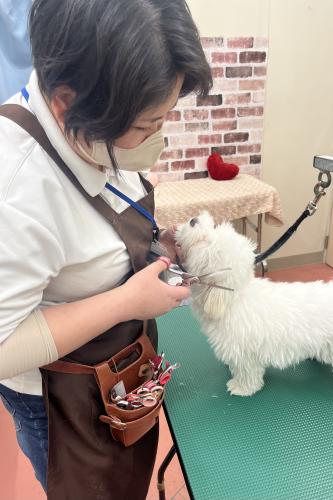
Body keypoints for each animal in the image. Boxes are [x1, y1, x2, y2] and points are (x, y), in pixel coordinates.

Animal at [175, 213, 332, 396]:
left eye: (205, 242)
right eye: (214, 227)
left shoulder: (243, 353)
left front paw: (241, 388)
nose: (193, 220)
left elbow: (247, 373)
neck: (233, 299)